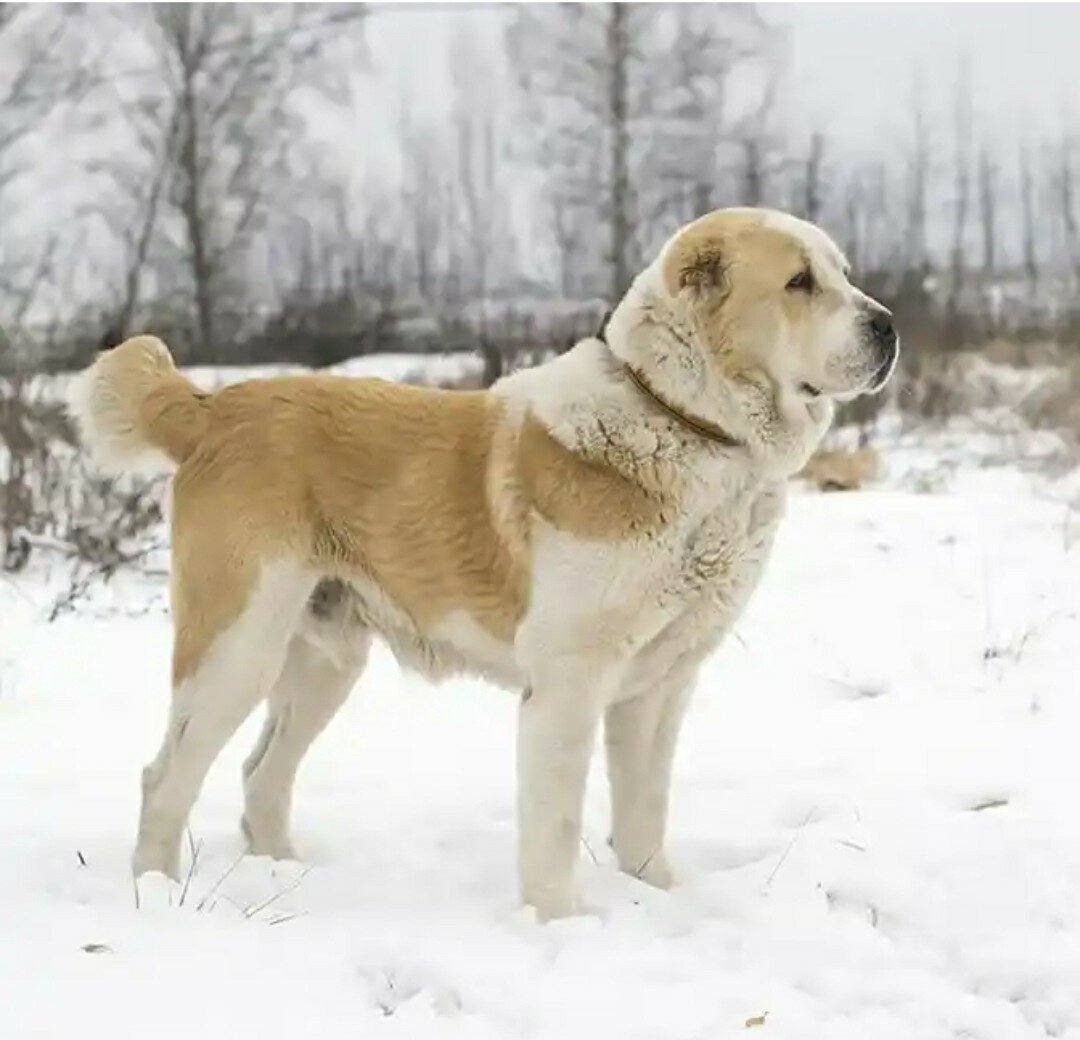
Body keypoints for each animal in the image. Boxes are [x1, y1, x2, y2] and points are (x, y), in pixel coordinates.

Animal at [67, 205, 894, 920]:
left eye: (844, 274)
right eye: (798, 282)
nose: (887, 325)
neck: (685, 421)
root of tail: (211, 409)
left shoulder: (659, 688)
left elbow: (644, 811)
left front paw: (655, 899)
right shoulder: (567, 688)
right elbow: (556, 826)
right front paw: (560, 925)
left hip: (323, 661)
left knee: (260, 771)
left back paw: (286, 876)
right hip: (237, 646)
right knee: (165, 777)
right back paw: (157, 897)